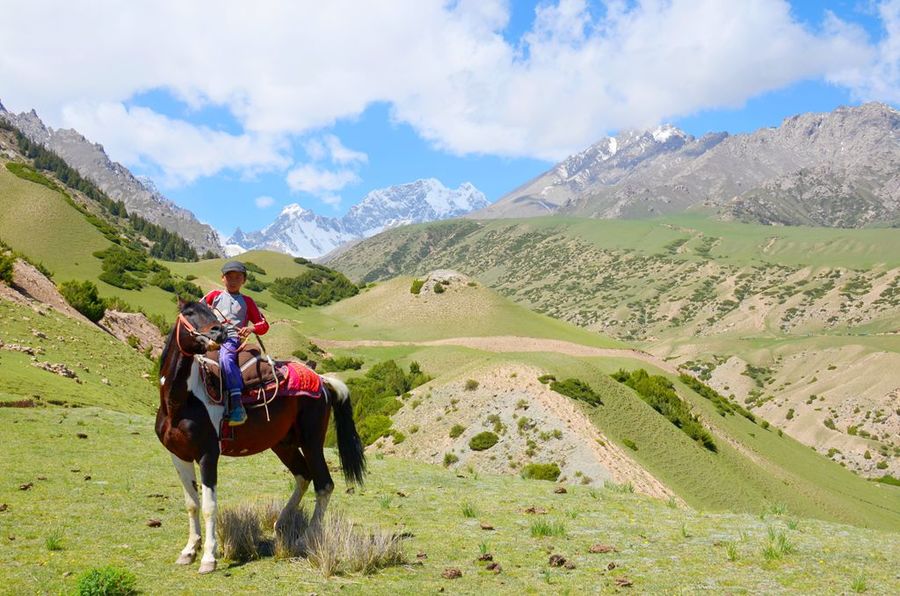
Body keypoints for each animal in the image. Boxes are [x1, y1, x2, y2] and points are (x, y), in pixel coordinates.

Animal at [154, 300, 366, 576]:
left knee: (324, 484)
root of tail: (321, 380)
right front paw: (189, 550)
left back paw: (305, 537)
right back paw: (280, 525)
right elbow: (192, 503)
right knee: (303, 476)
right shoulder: (178, 456)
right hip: (283, 445)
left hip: (311, 443)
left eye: (210, 312)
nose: (219, 333)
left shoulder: (208, 454)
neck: (181, 402)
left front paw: (209, 558)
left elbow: (210, 506)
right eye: (189, 313)